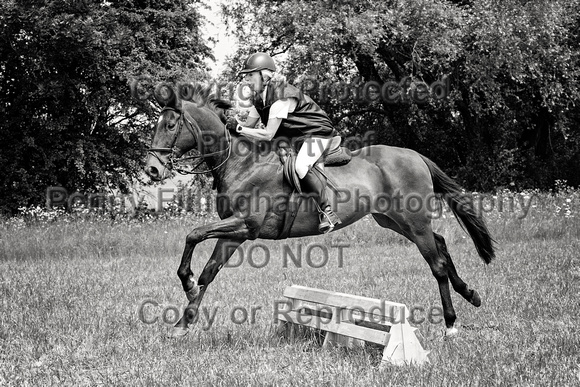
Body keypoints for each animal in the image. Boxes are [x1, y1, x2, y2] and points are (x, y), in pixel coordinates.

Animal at [144, 83, 494, 338]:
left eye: (171, 124)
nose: (151, 170)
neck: (240, 162)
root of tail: (415, 156)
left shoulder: (245, 225)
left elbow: (193, 235)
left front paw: (186, 283)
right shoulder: (234, 232)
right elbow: (209, 271)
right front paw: (183, 321)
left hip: (413, 221)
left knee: (436, 263)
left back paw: (451, 324)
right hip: (394, 220)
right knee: (441, 244)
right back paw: (471, 294)